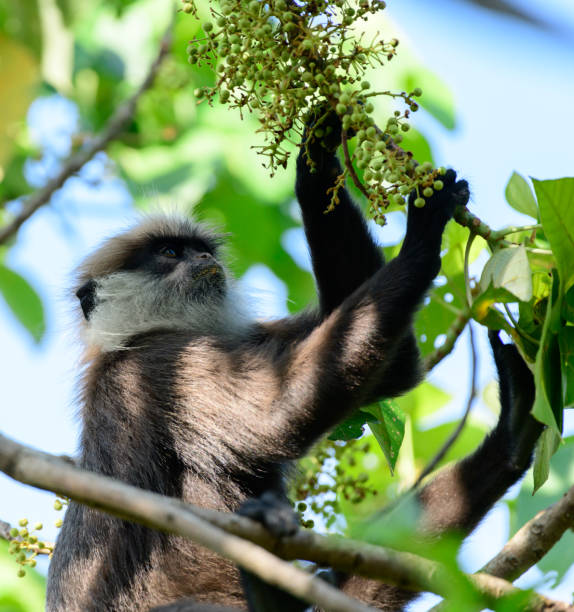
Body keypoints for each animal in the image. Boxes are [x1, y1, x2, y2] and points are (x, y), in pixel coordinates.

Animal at [46, 113, 544, 608]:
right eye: (170, 252)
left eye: (200, 248)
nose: (204, 256)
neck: (135, 336)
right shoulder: (163, 362)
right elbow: (277, 416)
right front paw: (421, 238)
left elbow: (397, 365)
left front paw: (317, 145)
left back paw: (513, 435)